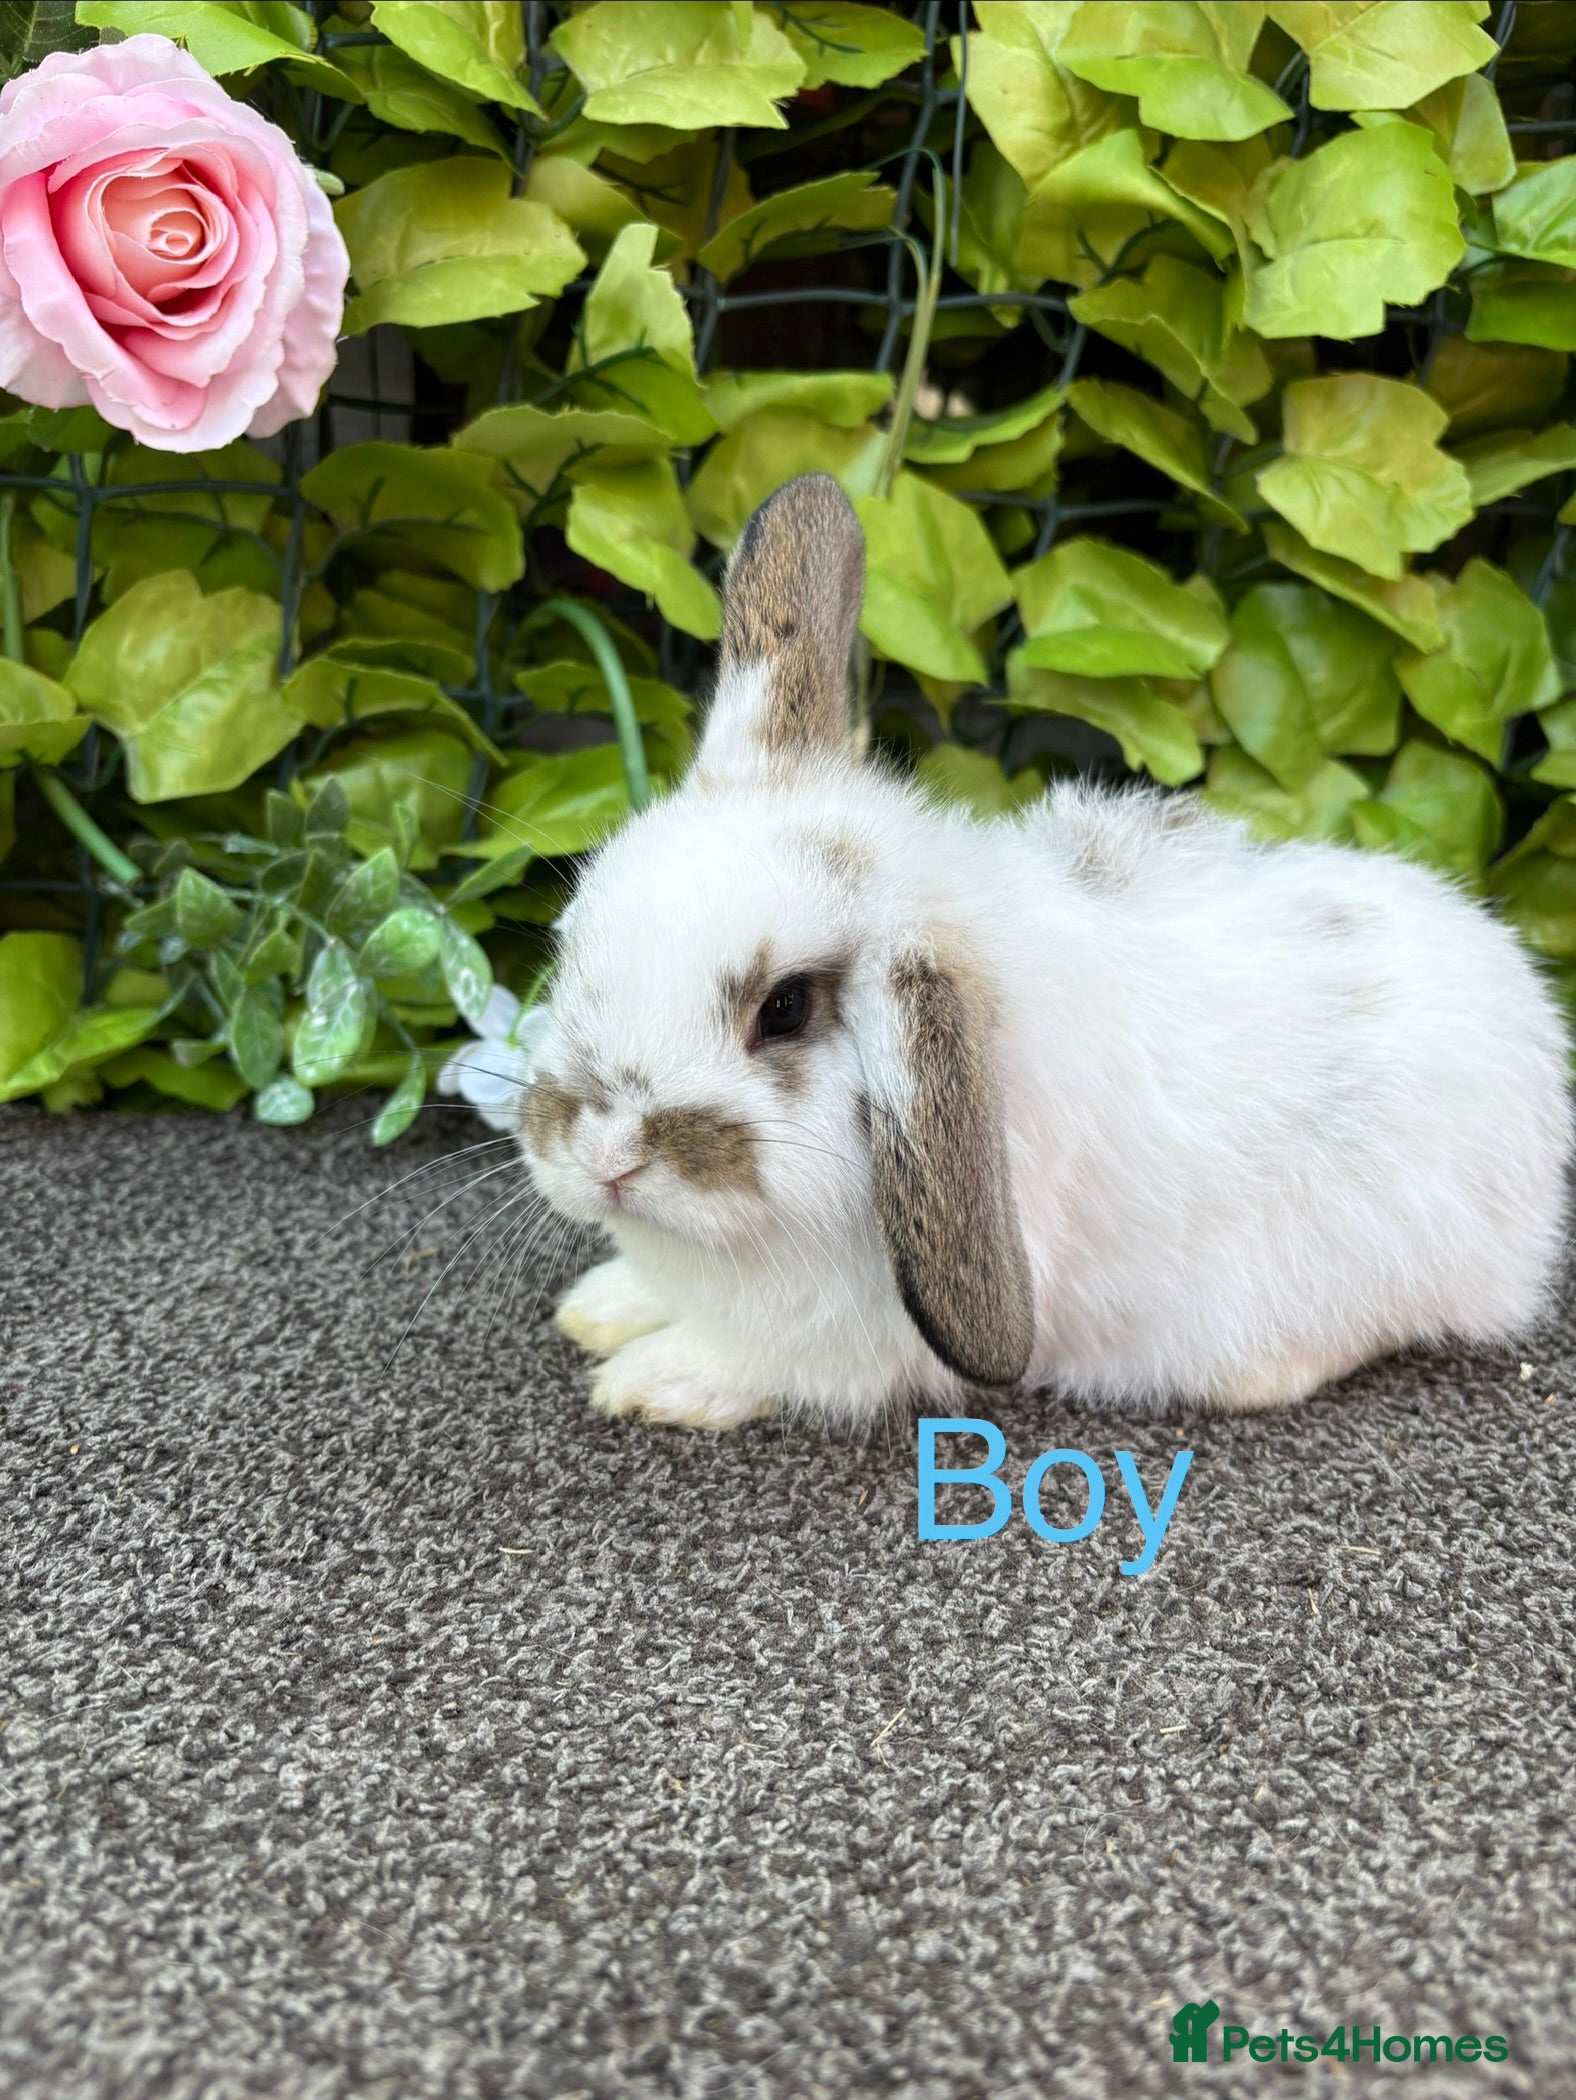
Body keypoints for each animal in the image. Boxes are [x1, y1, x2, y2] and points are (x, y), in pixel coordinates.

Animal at [519, 473, 1573, 1431]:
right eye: (571, 940)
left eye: (785, 1008)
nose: (605, 1156)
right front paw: (599, 1306)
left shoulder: (842, 1342)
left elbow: (754, 1361)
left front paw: (646, 1380)